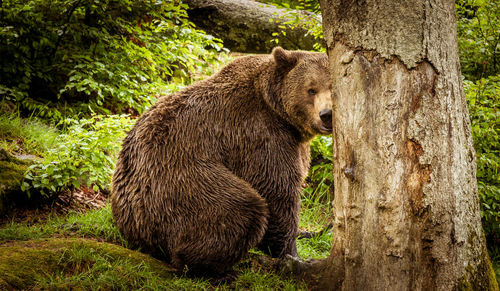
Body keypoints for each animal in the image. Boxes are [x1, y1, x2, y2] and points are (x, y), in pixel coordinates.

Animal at [111, 47, 334, 280]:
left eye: (332, 87)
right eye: (311, 89)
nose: (327, 115)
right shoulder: (260, 136)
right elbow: (278, 191)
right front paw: (291, 255)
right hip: (178, 182)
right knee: (239, 208)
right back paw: (216, 270)